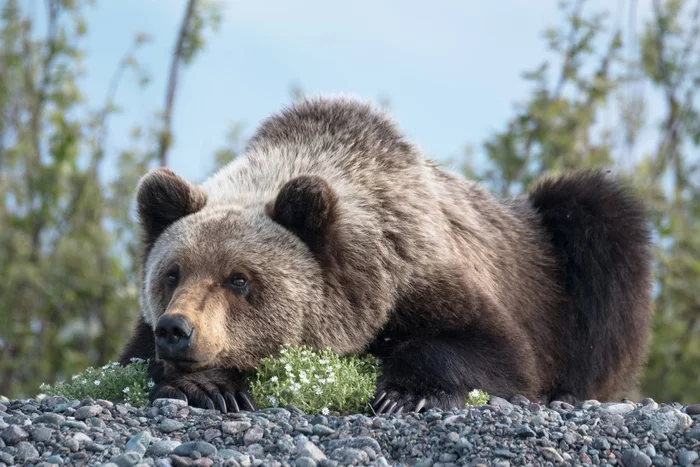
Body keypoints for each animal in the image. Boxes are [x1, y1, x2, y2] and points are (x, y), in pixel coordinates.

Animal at [117, 94, 652, 414]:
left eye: (239, 278)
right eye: (172, 273)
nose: (177, 329)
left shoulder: (421, 270)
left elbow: (495, 350)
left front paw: (404, 394)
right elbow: (134, 361)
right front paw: (209, 387)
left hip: (554, 258)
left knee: (601, 230)